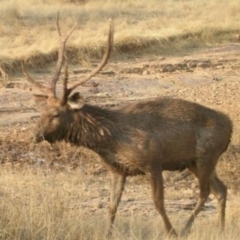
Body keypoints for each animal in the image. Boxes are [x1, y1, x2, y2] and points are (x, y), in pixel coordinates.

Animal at [22, 14, 232, 237]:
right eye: (42, 110)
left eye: (56, 114)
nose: (34, 134)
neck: (110, 140)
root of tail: (230, 126)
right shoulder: (117, 170)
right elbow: (112, 206)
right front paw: (106, 234)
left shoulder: (152, 163)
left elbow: (158, 204)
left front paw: (171, 232)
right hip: (194, 161)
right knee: (221, 190)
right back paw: (220, 229)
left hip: (206, 155)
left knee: (205, 192)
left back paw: (184, 229)